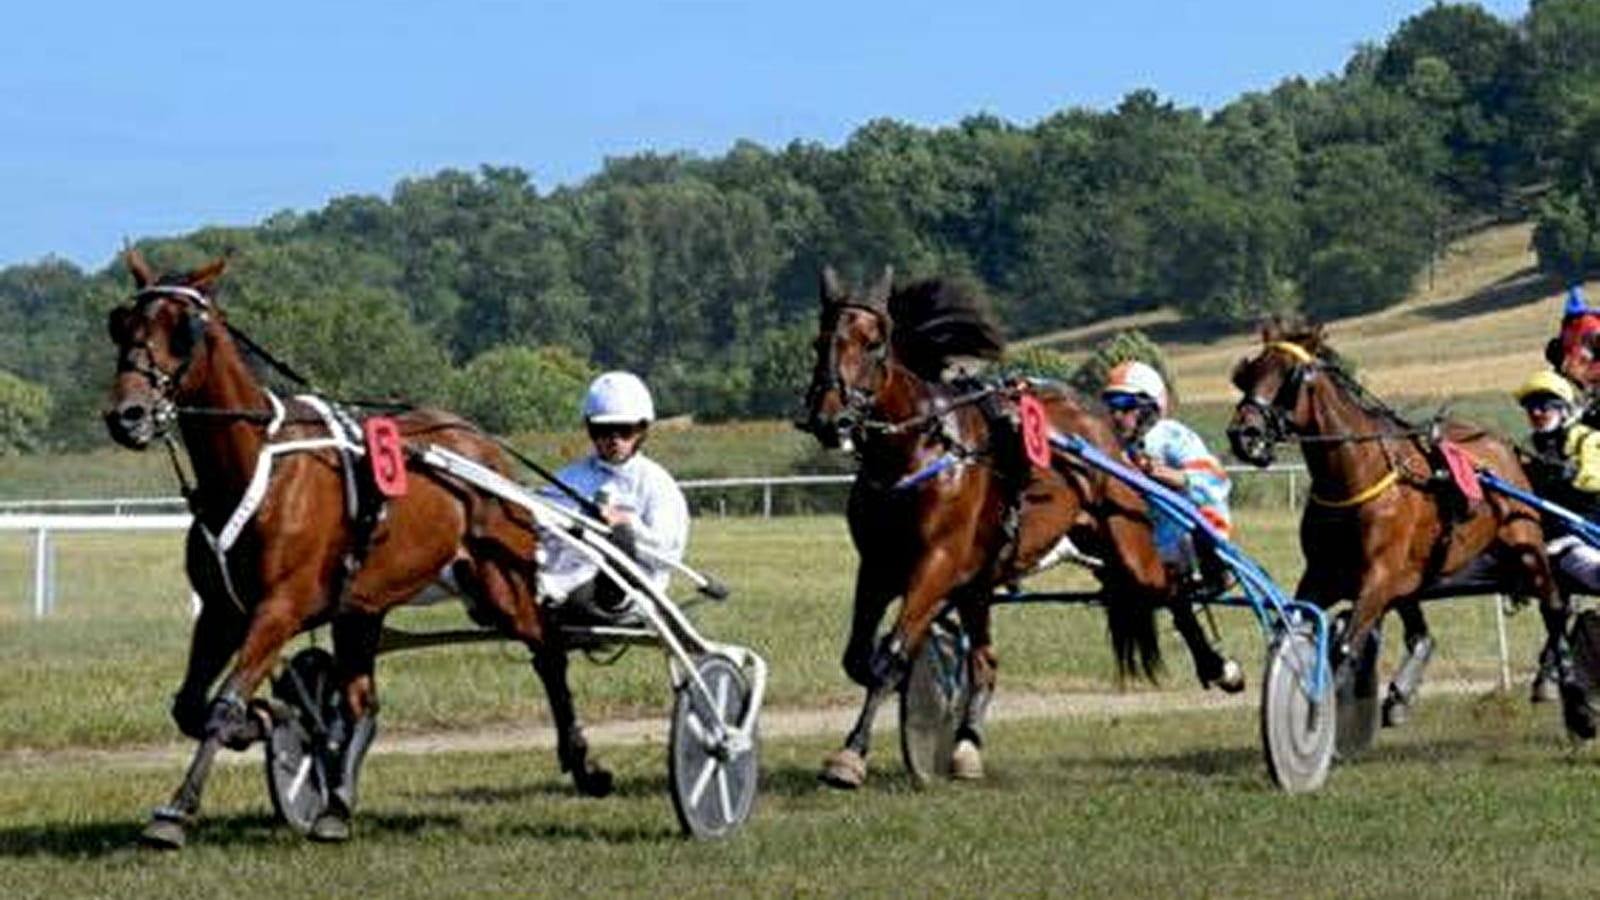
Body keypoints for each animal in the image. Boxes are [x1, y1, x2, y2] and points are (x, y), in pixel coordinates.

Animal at [101, 248, 611, 845]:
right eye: (121, 324)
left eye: (183, 330)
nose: (127, 415)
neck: (254, 469)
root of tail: (477, 442)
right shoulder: (223, 612)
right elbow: (191, 706)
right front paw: (273, 719)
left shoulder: (278, 608)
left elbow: (224, 702)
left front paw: (177, 810)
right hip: (363, 607)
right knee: (362, 702)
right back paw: (336, 805)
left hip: (499, 586)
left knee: (548, 651)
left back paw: (584, 764)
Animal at [796, 265, 1235, 784]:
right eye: (819, 342)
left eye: (873, 343)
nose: (829, 419)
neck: (918, 452)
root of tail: (1103, 430)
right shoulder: (880, 565)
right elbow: (861, 658)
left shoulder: (936, 560)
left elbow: (890, 655)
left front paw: (850, 755)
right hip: (983, 579)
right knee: (986, 661)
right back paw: (966, 746)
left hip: (1126, 541)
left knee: (1169, 588)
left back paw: (1220, 666)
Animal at [1222, 318, 1574, 733]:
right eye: (1247, 373)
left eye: (1289, 375)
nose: (1243, 435)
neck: (1356, 473)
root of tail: (1500, 444)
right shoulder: (1325, 575)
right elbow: (1291, 622)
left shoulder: (1378, 576)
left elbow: (1345, 643)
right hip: (1413, 576)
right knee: (1422, 636)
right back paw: (1400, 696)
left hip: (1524, 540)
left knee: (1554, 603)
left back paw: (1557, 673)